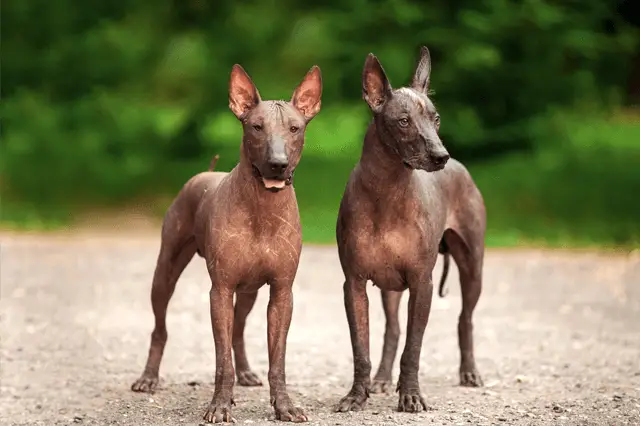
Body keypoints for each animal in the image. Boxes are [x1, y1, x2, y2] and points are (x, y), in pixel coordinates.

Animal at [131, 63, 322, 422]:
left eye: (295, 128)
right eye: (256, 127)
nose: (278, 164)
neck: (262, 207)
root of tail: (205, 173)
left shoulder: (282, 292)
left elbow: (277, 360)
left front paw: (284, 406)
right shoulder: (219, 291)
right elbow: (222, 361)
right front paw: (219, 404)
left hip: (248, 292)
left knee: (239, 330)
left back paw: (245, 372)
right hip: (165, 273)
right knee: (159, 329)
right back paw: (148, 377)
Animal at [336, 46, 484, 412]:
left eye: (436, 119)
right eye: (403, 121)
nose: (441, 156)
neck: (387, 190)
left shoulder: (422, 284)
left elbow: (414, 349)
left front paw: (411, 395)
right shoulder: (354, 285)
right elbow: (361, 348)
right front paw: (357, 395)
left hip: (472, 268)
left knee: (465, 319)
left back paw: (469, 372)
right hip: (389, 288)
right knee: (392, 330)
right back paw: (382, 379)